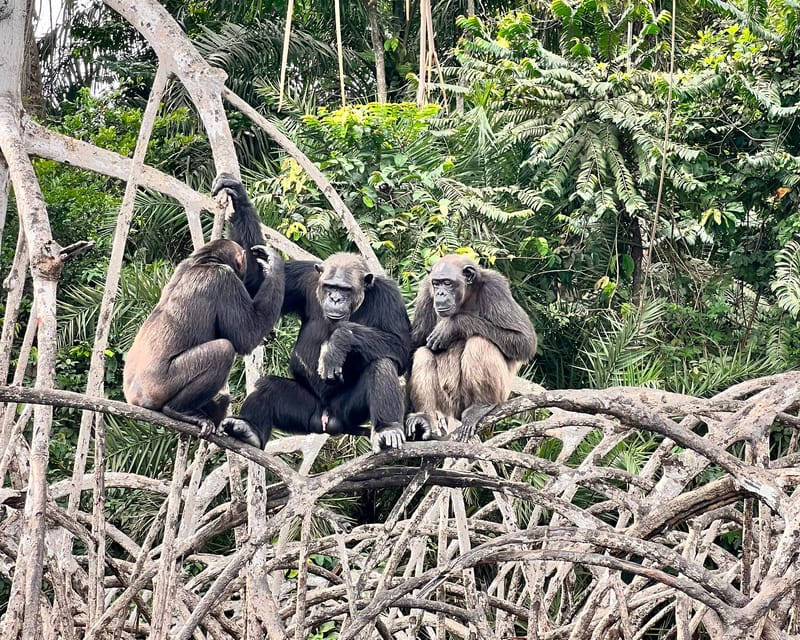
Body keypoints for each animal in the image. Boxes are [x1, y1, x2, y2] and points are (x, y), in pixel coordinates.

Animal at [405, 254, 537, 439]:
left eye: (447, 282)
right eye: (436, 283)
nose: (440, 292)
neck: (466, 296)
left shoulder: (496, 288)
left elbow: (524, 340)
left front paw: (452, 326)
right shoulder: (425, 292)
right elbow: (416, 343)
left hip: (496, 395)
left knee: (479, 342)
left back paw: (482, 405)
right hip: (447, 406)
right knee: (423, 354)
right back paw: (424, 417)